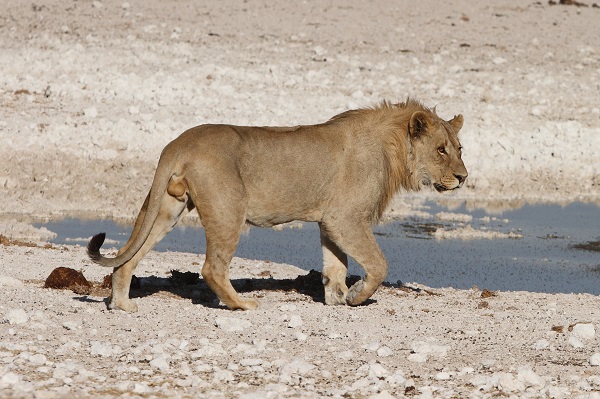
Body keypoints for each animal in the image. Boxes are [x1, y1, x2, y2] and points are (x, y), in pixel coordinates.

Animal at [86, 99, 466, 312]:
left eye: (459, 149)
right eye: (441, 150)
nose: (463, 177)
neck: (393, 147)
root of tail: (179, 142)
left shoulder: (330, 221)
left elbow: (335, 265)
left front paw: (337, 298)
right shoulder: (345, 218)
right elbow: (379, 264)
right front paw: (357, 296)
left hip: (166, 208)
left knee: (127, 258)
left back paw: (122, 305)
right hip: (228, 210)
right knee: (212, 268)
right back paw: (242, 305)